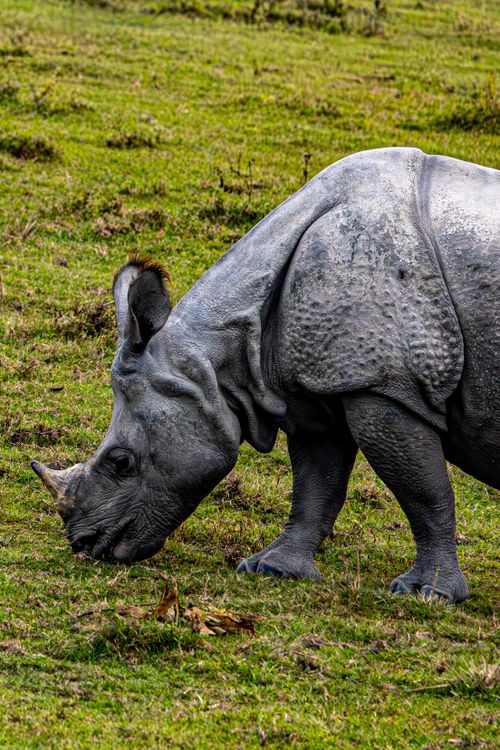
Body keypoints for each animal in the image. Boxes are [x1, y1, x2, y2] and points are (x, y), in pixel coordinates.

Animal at [32, 147, 499, 603]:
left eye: (121, 461)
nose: (83, 543)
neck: (217, 356)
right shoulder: (315, 388)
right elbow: (316, 485)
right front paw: (273, 569)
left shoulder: (384, 384)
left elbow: (423, 490)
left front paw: (425, 593)